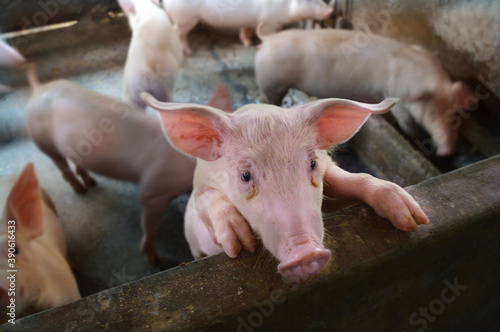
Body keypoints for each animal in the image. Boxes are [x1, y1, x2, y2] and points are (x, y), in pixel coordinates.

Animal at [21, 65, 228, 264]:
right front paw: (155, 261)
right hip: (43, 141)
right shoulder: (155, 190)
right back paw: (81, 189)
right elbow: (150, 224)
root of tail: (39, 88)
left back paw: (91, 182)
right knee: (62, 168)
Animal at [142, 94, 430, 282]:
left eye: (312, 163)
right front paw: (239, 245)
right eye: (245, 175)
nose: (307, 254)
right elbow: (213, 202)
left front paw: (414, 219)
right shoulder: (201, 191)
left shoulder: (329, 169)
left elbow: (350, 180)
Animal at [158, 0, 334, 55]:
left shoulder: (248, 21)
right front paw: (258, 46)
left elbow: (246, 30)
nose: (331, 10)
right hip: (186, 19)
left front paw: (248, 44)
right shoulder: (270, 21)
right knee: (177, 32)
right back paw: (189, 52)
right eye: (308, 1)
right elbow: (266, 33)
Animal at [256, 28, 478, 157]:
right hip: (271, 83)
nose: (448, 151)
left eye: (457, 113)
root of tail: (268, 38)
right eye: (431, 114)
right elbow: (406, 122)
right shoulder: (396, 97)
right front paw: (412, 136)